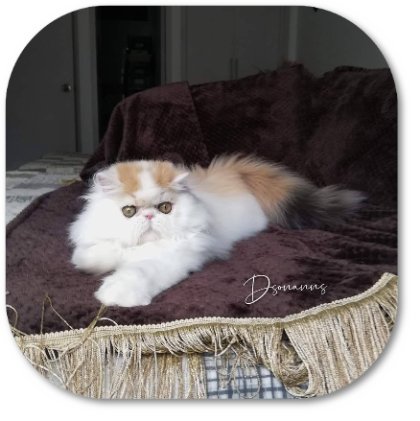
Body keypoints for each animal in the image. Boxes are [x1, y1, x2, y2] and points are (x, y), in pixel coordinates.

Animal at [69, 154, 365, 307]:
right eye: (129, 211)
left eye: (165, 208)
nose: (150, 215)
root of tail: (232, 174)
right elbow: (99, 252)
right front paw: (93, 263)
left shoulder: (170, 259)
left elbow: (136, 272)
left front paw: (115, 295)